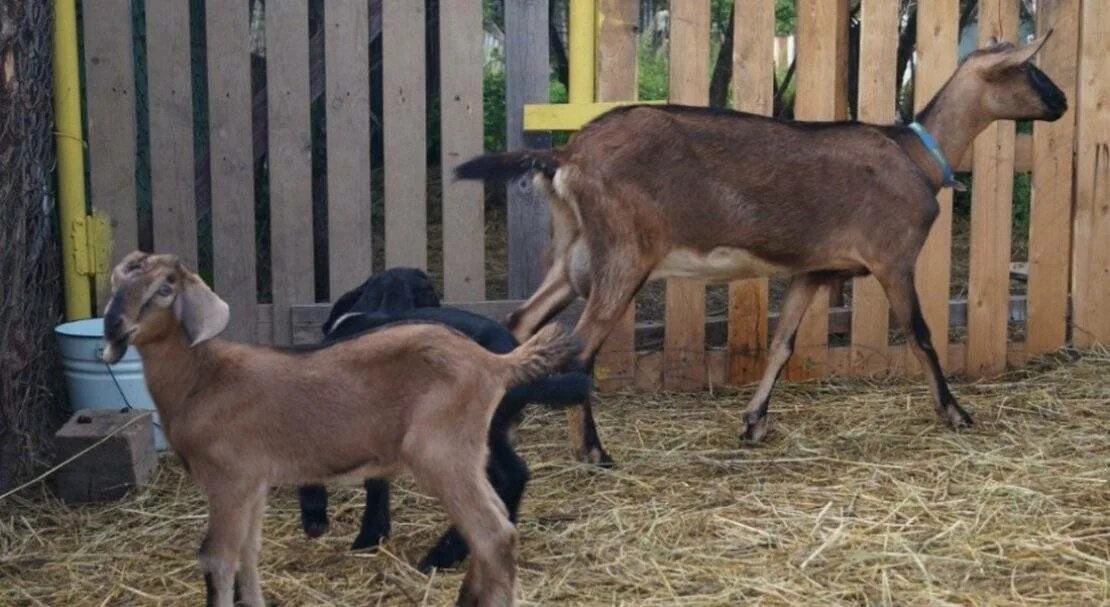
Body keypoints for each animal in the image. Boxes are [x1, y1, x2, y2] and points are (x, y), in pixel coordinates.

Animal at [103, 250, 577, 607]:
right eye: (118, 283)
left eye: (165, 289)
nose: (114, 326)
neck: (201, 377)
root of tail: (493, 362)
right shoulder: (253, 481)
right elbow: (248, 553)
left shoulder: (228, 479)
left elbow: (216, 558)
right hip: (468, 453)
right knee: (496, 521)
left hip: (442, 453)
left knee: (493, 532)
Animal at [452, 34, 1065, 450]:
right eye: (1028, 69)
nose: (1060, 103)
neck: (917, 157)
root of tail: (566, 155)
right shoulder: (893, 259)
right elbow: (921, 335)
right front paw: (955, 413)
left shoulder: (812, 270)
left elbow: (782, 344)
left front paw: (753, 422)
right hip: (623, 255)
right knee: (578, 348)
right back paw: (592, 450)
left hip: (574, 252)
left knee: (521, 322)